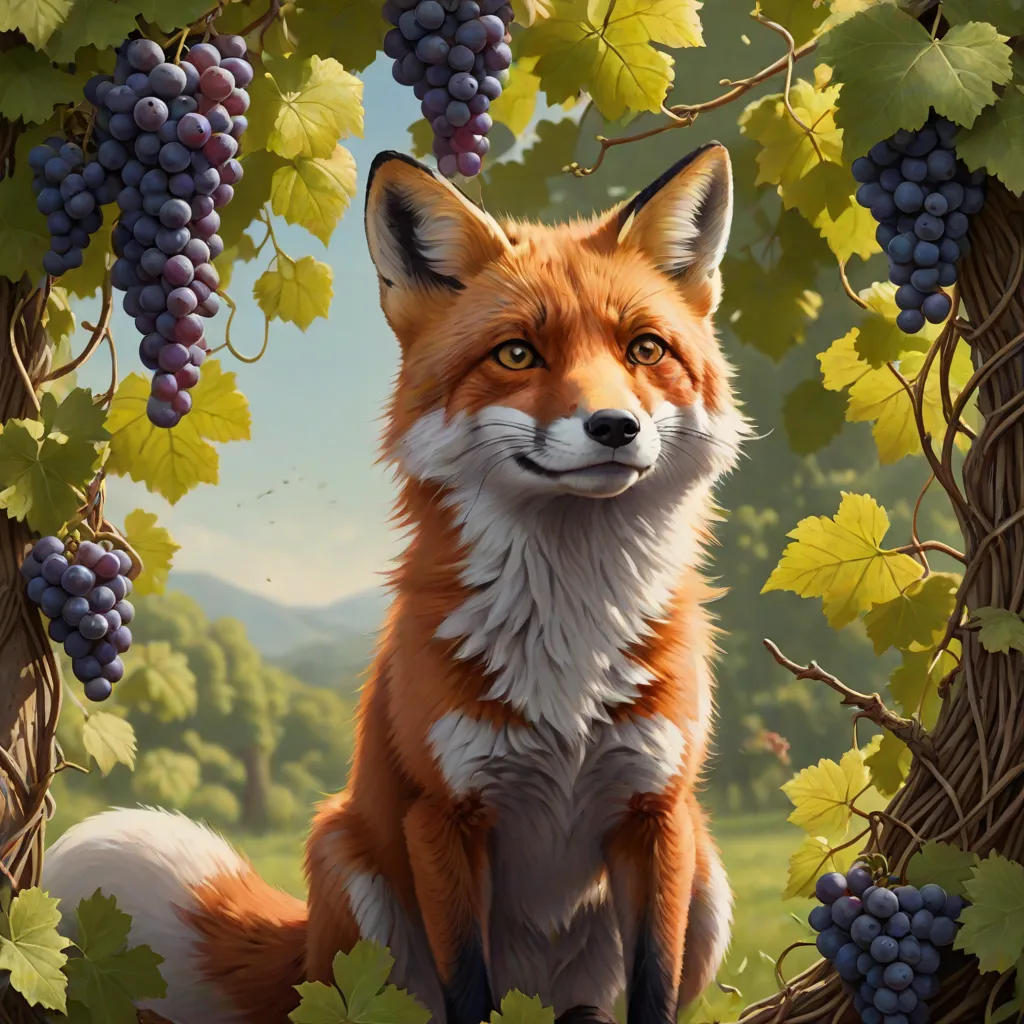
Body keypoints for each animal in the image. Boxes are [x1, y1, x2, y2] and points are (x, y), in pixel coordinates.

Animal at [43, 141, 748, 1024]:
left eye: (645, 350)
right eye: (517, 353)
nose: (616, 427)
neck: (569, 642)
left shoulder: (656, 811)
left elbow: (652, 987)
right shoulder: (441, 816)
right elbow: (470, 993)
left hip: (707, 876)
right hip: (352, 872)